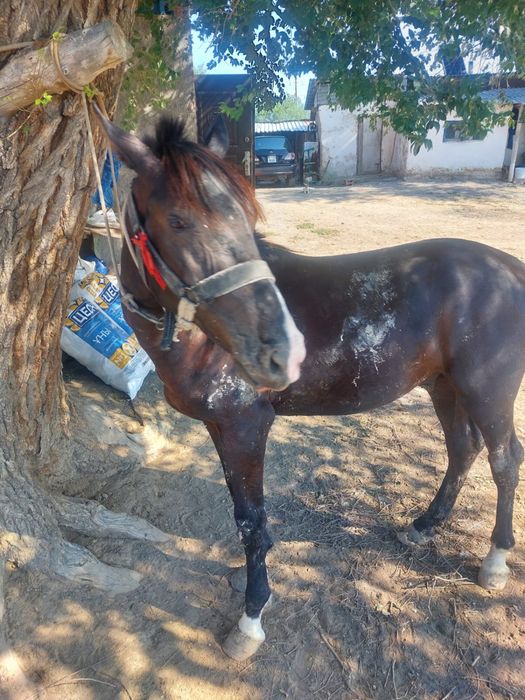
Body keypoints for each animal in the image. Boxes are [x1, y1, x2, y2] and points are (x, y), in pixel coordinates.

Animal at [97, 112, 525, 662]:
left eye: (245, 216)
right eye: (177, 221)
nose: (284, 350)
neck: (200, 337)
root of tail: (509, 269)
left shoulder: (245, 427)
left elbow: (252, 523)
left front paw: (251, 617)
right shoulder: (221, 429)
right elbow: (243, 515)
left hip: (487, 391)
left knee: (504, 460)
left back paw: (494, 561)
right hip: (443, 386)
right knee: (462, 450)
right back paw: (424, 527)